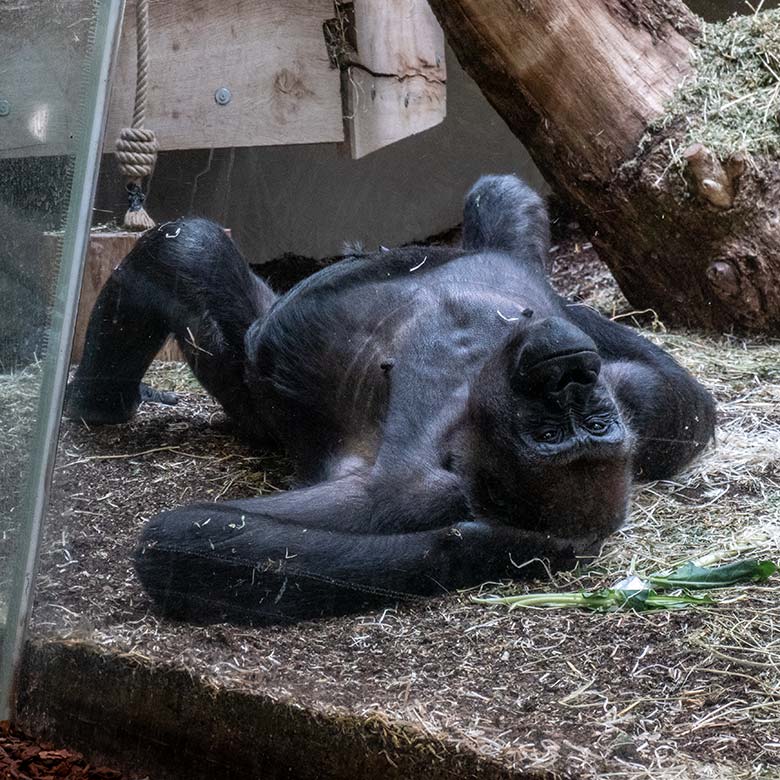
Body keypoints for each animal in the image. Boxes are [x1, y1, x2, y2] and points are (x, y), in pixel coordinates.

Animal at [65, 174, 712, 624]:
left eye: (551, 435)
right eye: (584, 425)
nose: (567, 376)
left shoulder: (411, 474)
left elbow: (189, 540)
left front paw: (492, 548)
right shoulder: (637, 404)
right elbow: (687, 406)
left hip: (247, 391)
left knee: (187, 251)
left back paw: (97, 401)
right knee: (501, 201)